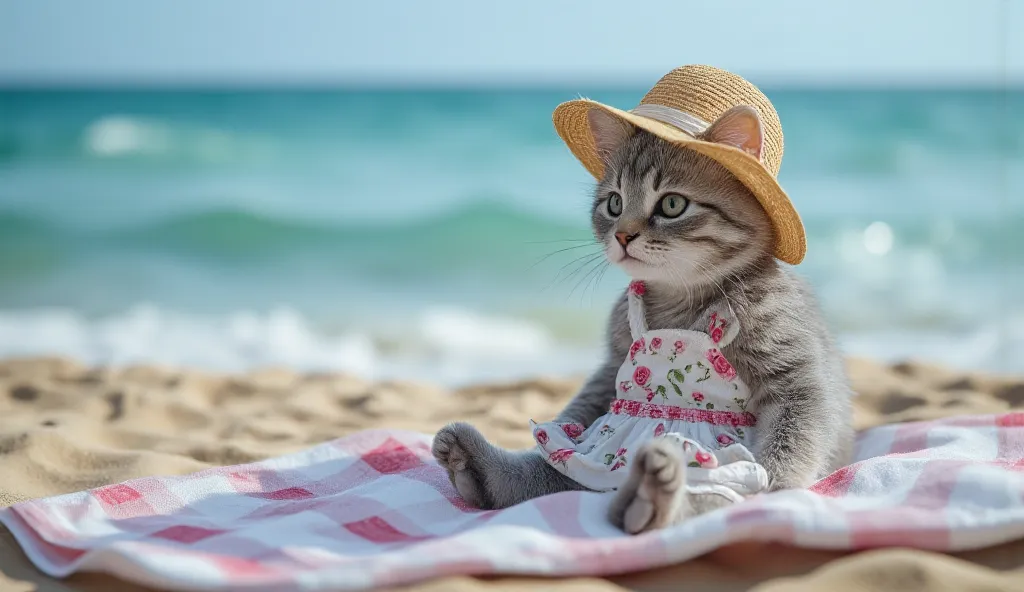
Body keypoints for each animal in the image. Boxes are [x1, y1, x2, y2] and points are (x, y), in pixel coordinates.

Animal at [434, 103, 856, 532]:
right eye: (614, 203)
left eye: (671, 205)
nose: (622, 235)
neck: (680, 298)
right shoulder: (611, 369)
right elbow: (574, 418)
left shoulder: (796, 377)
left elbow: (792, 441)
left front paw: (773, 490)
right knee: (551, 473)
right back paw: (479, 469)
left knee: (708, 497)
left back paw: (654, 496)